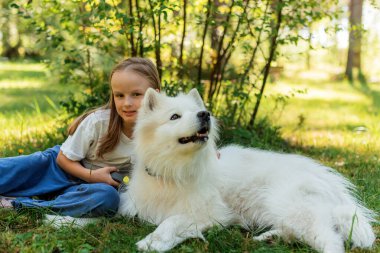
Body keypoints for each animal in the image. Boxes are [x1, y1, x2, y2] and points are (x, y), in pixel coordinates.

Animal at [118, 88, 374, 252]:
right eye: (174, 116)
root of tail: (332, 185)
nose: (205, 114)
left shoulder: (210, 212)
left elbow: (171, 222)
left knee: (331, 240)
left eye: (197, 111)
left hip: (288, 204)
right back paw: (269, 238)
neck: (173, 170)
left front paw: (152, 242)